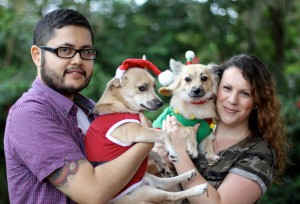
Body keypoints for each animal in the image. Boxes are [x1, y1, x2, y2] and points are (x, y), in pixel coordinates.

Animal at [83, 58, 207, 203]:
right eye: (142, 88)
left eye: (154, 86)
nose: (160, 103)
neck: (120, 105)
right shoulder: (137, 132)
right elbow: (164, 134)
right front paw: (172, 152)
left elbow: (154, 153)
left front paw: (163, 164)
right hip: (148, 192)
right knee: (172, 196)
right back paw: (198, 188)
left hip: (151, 181)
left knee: (167, 183)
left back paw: (188, 174)